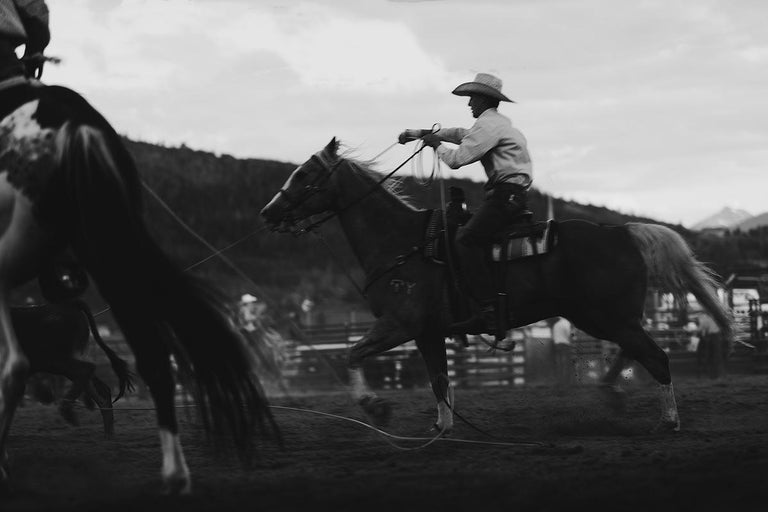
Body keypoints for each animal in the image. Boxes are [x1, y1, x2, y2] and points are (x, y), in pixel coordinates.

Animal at [14, 299, 134, 438]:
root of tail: (69, 305)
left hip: (54, 360)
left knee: (87, 370)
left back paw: (68, 412)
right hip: (62, 362)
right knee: (99, 388)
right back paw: (108, 432)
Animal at [260, 138, 733, 434]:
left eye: (304, 174)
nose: (268, 213)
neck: (401, 242)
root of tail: (621, 232)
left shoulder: (400, 324)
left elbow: (353, 354)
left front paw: (377, 407)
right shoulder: (427, 333)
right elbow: (438, 379)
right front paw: (442, 426)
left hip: (605, 315)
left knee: (656, 357)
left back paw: (667, 420)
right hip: (603, 317)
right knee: (632, 352)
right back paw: (612, 392)